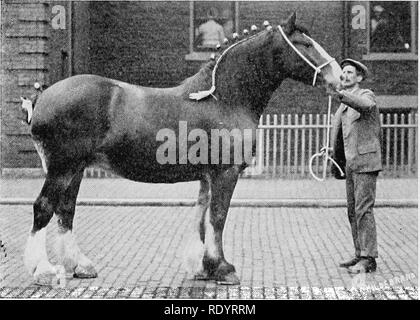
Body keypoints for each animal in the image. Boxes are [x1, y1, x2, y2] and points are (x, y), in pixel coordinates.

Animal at [23, 13, 342, 286]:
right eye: (306, 44)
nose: (338, 77)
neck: (224, 99)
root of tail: (43, 98)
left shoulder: (207, 175)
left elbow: (201, 215)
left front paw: (203, 267)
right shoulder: (226, 173)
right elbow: (218, 217)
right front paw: (223, 268)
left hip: (75, 170)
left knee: (65, 211)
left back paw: (80, 265)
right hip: (63, 167)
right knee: (44, 207)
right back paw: (43, 270)